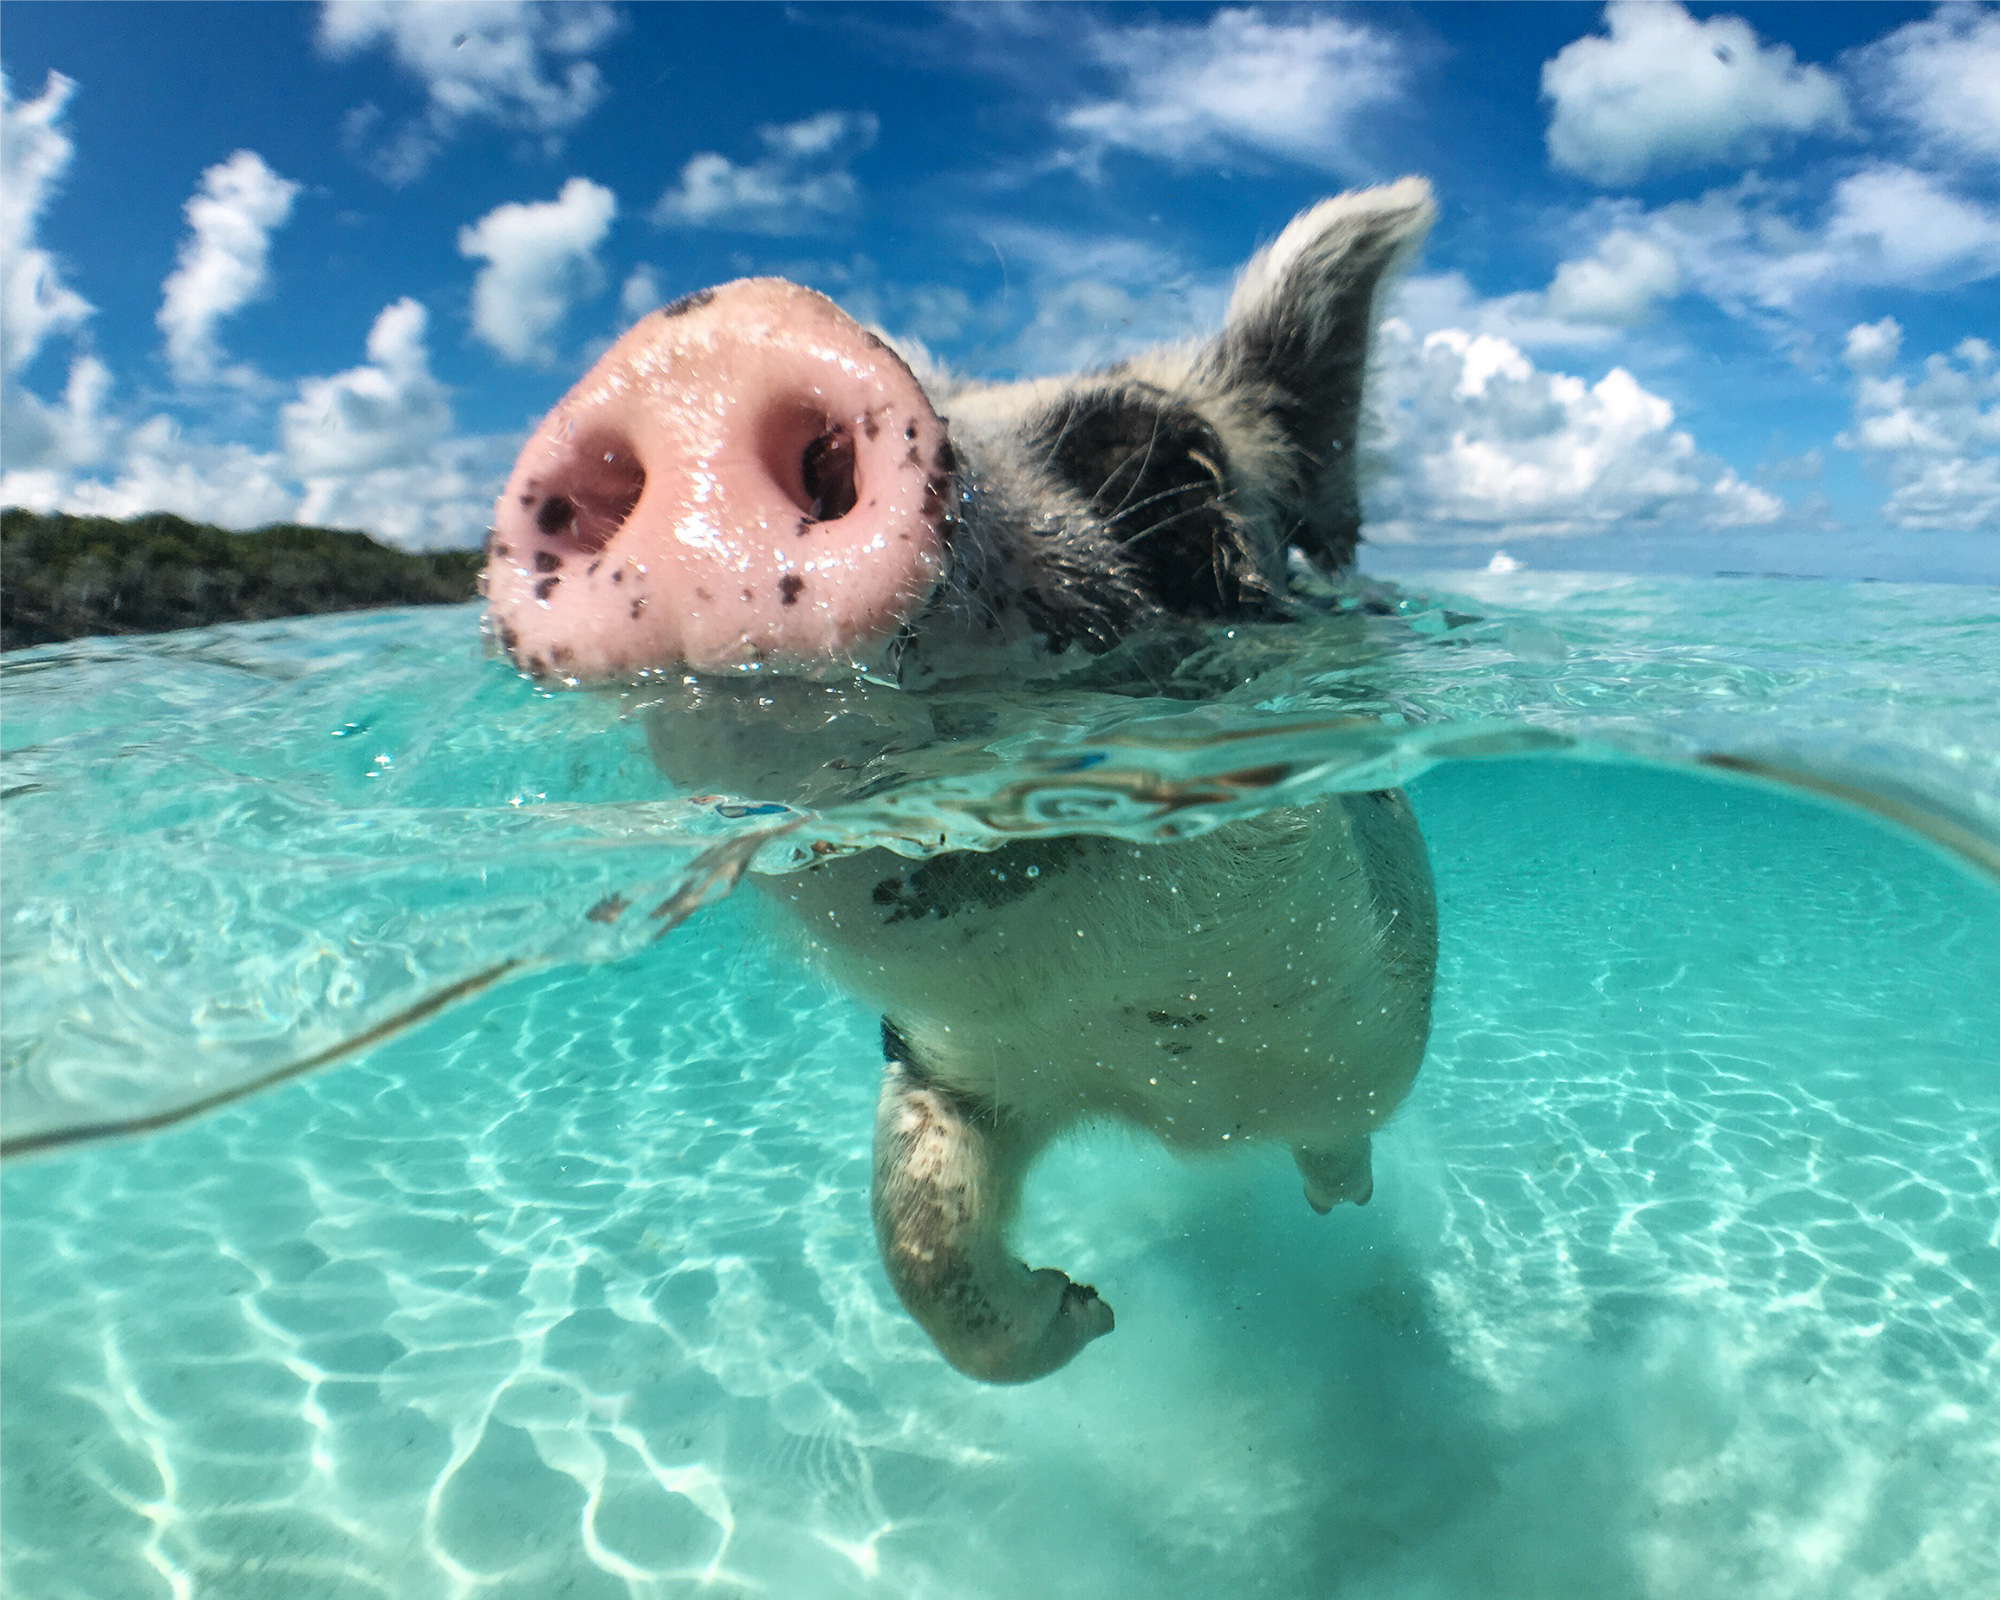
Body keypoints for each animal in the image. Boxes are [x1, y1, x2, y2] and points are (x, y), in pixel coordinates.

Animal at [484, 179, 1440, 1383]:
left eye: (1173, 468)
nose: (707, 342)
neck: (1164, 1079)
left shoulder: (1363, 1031)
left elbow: (1340, 1132)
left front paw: (1150, 1282)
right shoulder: (942, 1063)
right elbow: (920, 1240)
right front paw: (1089, 1308)